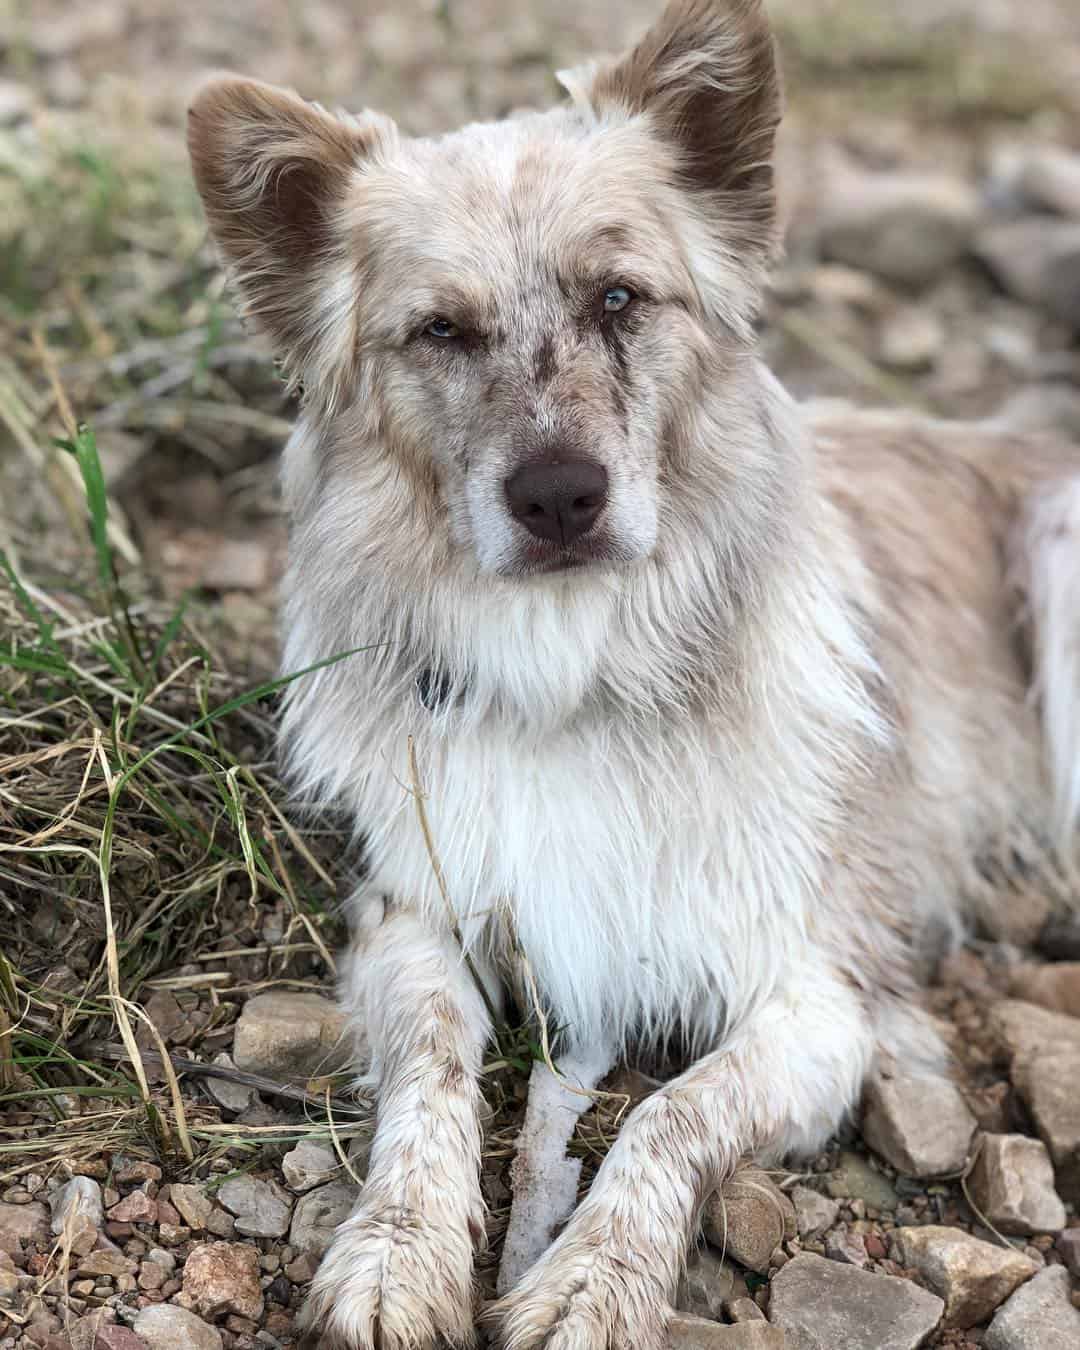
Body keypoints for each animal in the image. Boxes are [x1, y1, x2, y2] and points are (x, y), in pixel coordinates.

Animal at [186, 0, 1080, 1344]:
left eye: (620, 297)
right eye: (440, 330)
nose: (560, 497)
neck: (580, 670)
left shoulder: (819, 999)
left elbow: (670, 1116)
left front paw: (594, 1284)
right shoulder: (413, 914)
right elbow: (431, 1069)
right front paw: (394, 1251)